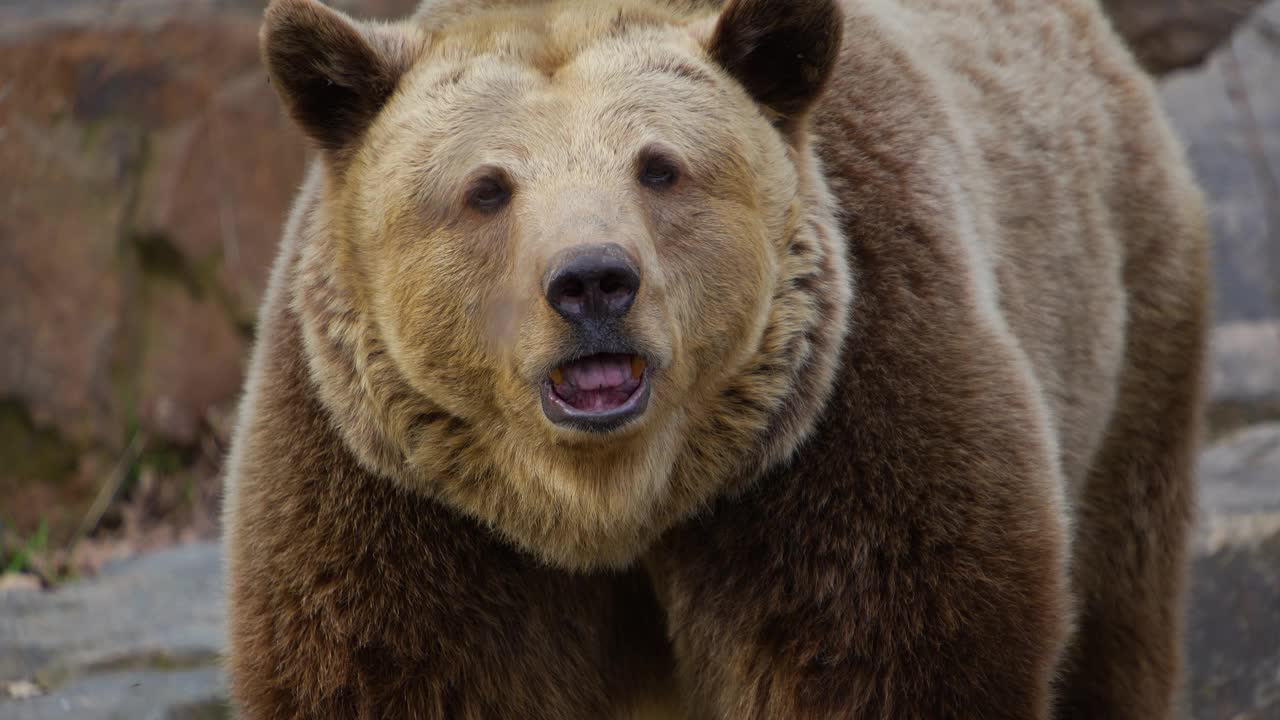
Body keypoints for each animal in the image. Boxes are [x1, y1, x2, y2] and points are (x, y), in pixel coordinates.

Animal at [222, 0, 1208, 712]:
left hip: (1126, 343)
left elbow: (890, 646)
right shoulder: (397, 502)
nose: (592, 281)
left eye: (659, 166)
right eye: (487, 187)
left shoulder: (838, 439)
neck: (610, 506)